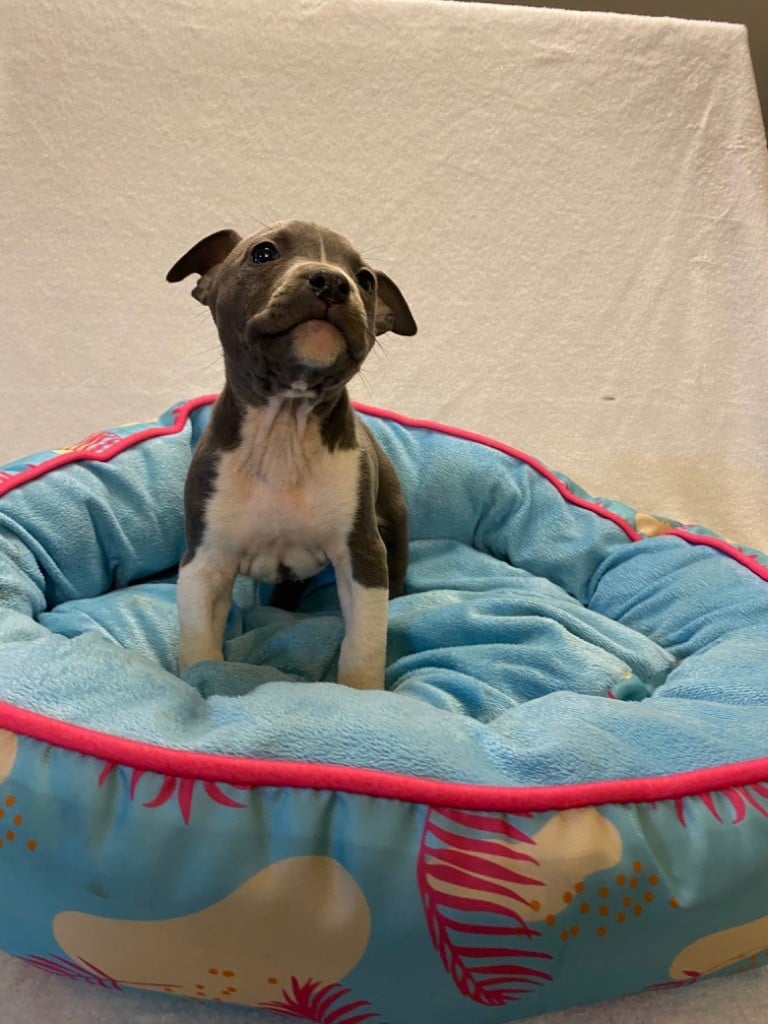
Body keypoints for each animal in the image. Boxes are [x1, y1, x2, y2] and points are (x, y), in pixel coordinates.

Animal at [167, 220, 416, 689]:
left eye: (365, 280)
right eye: (263, 253)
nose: (332, 281)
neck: (285, 428)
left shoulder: (362, 555)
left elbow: (364, 644)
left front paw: (363, 695)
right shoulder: (204, 562)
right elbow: (198, 643)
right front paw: (201, 679)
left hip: (394, 519)